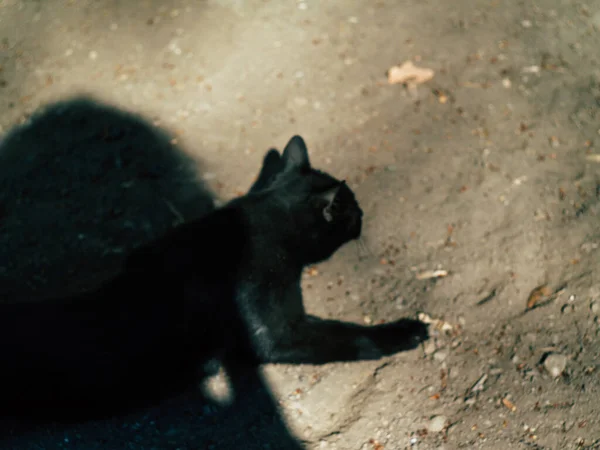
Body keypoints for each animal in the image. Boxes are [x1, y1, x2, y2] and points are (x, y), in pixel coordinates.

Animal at [1, 135, 426, 420]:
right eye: (353, 210)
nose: (364, 214)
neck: (262, 221)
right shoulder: (277, 330)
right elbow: (350, 336)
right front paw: (407, 331)